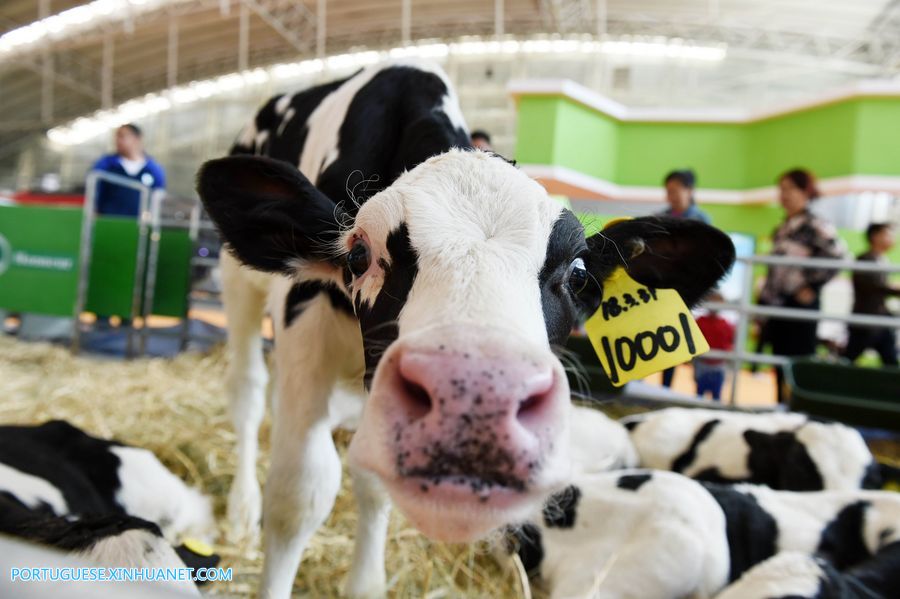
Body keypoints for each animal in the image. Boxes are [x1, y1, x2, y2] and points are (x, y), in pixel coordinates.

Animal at [197, 59, 732, 596]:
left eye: (579, 273)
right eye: (359, 254)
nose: (476, 400)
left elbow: (372, 482)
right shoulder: (306, 335)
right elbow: (297, 496)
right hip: (237, 283)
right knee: (248, 390)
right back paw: (242, 509)